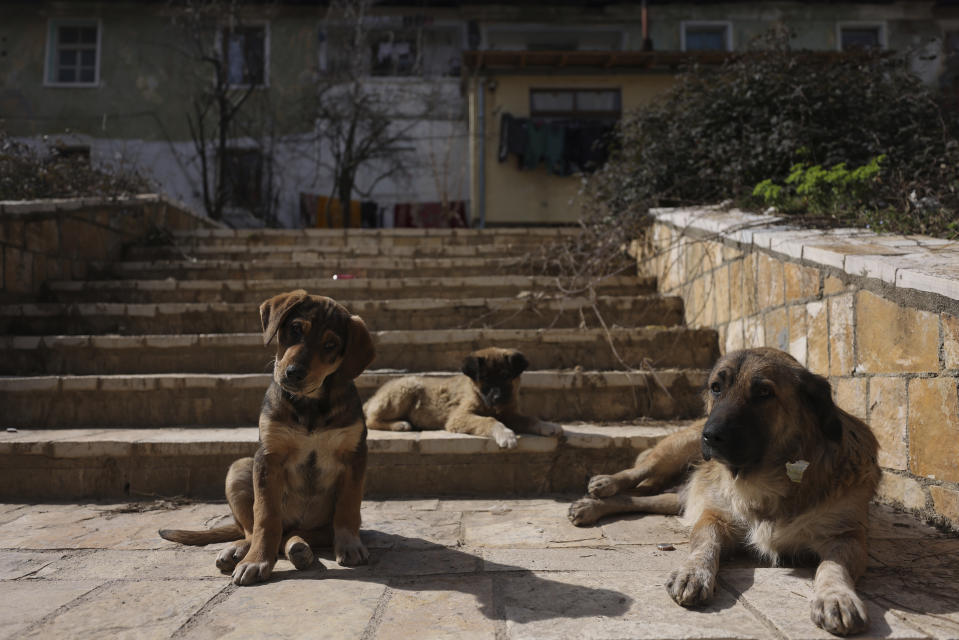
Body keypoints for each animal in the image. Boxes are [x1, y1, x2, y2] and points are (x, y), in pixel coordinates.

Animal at [159, 290, 374, 584]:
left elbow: (348, 506)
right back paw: (240, 551)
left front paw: (349, 545)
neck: (310, 405)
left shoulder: (354, 455)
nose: (294, 373)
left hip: (317, 525)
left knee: (297, 535)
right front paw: (257, 560)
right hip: (239, 469)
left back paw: (299, 549)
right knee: (256, 530)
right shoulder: (269, 457)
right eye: (296, 329)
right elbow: (265, 517)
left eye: (330, 345)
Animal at [366, 348, 564, 448]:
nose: (498, 397)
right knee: (371, 420)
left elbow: (530, 418)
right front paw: (506, 435)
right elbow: (489, 420)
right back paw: (399, 424)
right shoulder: (459, 416)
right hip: (406, 387)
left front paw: (548, 426)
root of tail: (373, 398)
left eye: (506, 376)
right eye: (484, 379)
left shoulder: (510, 414)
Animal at [568, 348, 880, 636]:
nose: (709, 436)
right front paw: (693, 573)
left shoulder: (846, 536)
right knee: (638, 472)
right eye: (716, 387)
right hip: (675, 449)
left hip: (678, 495)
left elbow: (832, 567)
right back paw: (602, 486)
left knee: (640, 499)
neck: (767, 480)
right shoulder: (714, 517)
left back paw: (591, 506)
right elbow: (704, 546)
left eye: (764, 392)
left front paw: (836, 597)